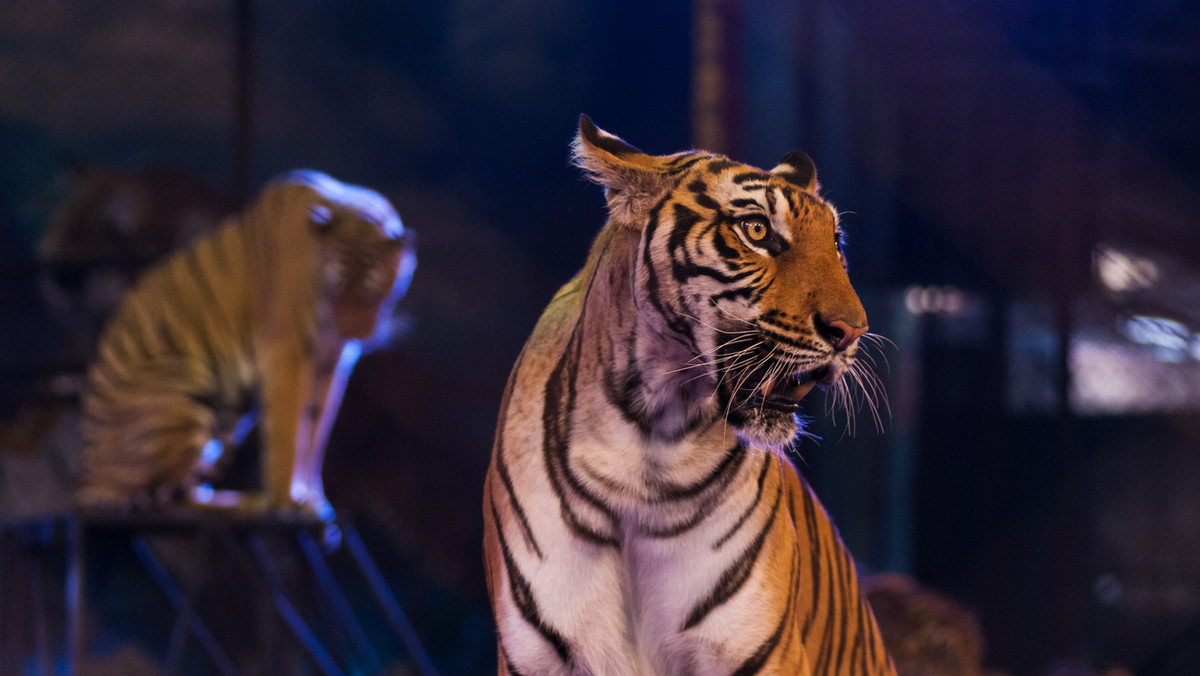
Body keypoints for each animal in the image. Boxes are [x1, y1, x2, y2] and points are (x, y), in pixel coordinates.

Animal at [77, 169, 417, 518]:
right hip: (182, 386)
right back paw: (250, 503)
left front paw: (314, 500)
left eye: (372, 291)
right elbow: (288, 429)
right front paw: (286, 501)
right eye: (334, 289)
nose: (352, 332)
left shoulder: (332, 359)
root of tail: (89, 480)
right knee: (166, 497)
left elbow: (317, 429)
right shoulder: (287, 348)